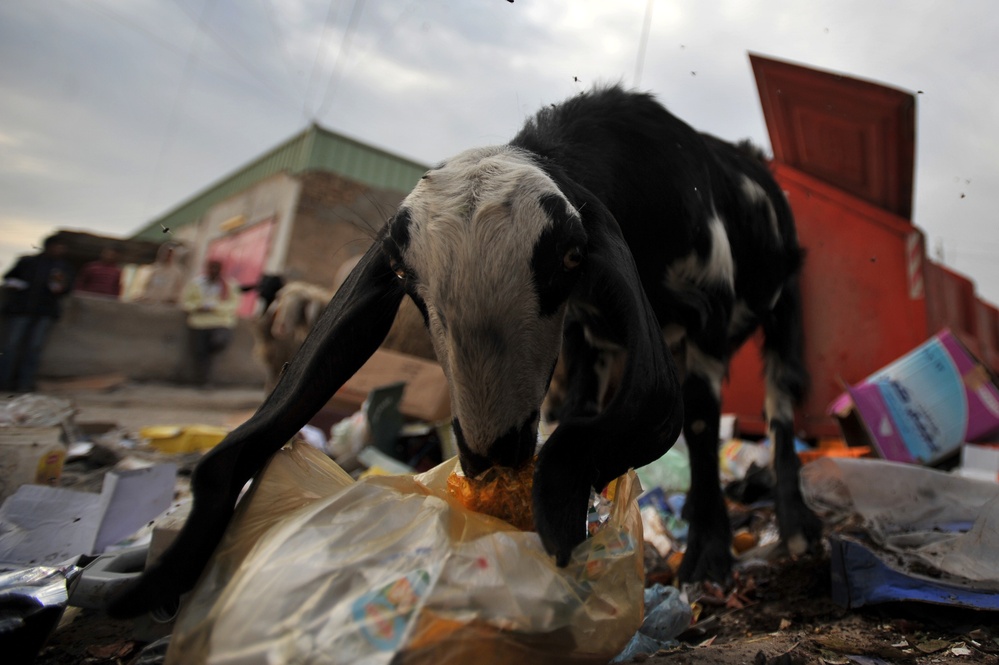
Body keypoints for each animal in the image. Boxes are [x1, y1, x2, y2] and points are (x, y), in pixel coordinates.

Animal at [109, 84, 824, 616]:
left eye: (568, 256)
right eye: (404, 275)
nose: (491, 453)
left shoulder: (706, 316)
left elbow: (700, 427)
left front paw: (709, 553)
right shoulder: (585, 337)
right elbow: (580, 413)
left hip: (784, 307)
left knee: (780, 408)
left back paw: (794, 523)